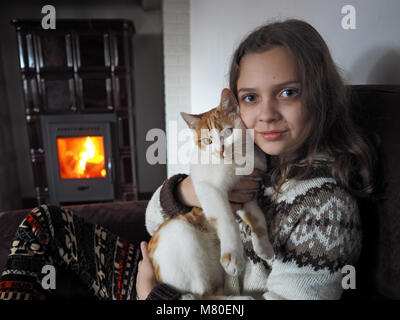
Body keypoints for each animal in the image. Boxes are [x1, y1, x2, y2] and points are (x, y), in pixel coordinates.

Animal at [147, 88, 276, 300]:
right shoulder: (208, 187)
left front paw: (264, 246)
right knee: (202, 295)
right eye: (207, 140)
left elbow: (258, 218)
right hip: (182, 235)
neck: (238, 160)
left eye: (228, 131)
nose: (220, 150)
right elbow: (226, 219)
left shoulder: (248, 193)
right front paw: (234, 255)